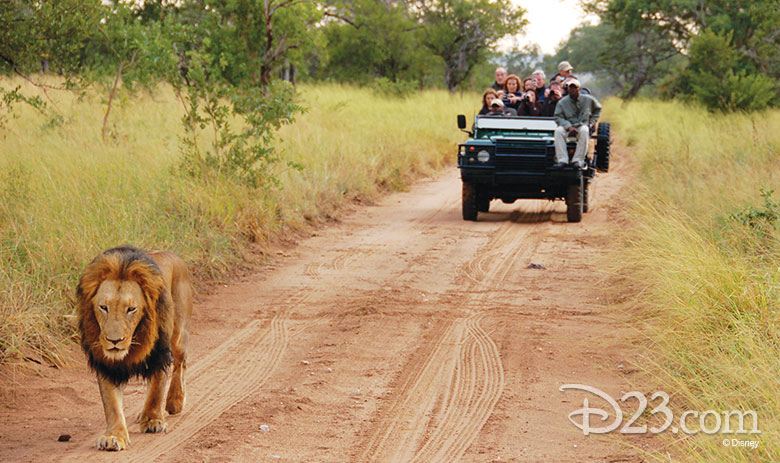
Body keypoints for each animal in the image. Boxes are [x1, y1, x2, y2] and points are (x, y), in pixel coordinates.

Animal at [76, 248, 193, 452]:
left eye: (131, 309)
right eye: (103, 307)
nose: (114, 341)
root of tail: (174, 255)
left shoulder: (160, 353)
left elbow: (156, 389)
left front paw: (153, 420)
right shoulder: (106, 364)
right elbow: (112, 404)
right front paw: (114, 436)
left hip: (177, 334)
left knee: (181, 361)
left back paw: (175, 401)